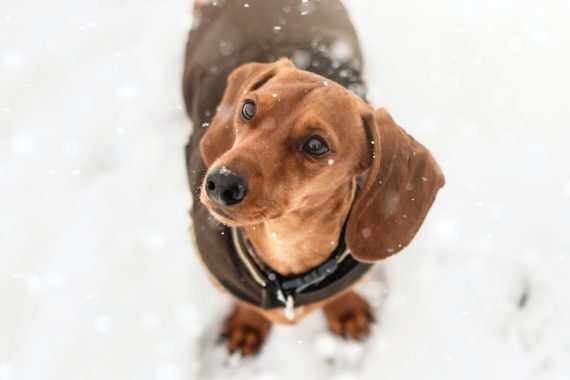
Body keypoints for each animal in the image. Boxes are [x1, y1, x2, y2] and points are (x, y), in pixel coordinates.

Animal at [182, 0, 444, 356]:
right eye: (248, 108)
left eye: (316, 145)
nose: (221, 182)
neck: (287, 251)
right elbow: (248, 304)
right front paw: (248, 323)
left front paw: (345, 310)